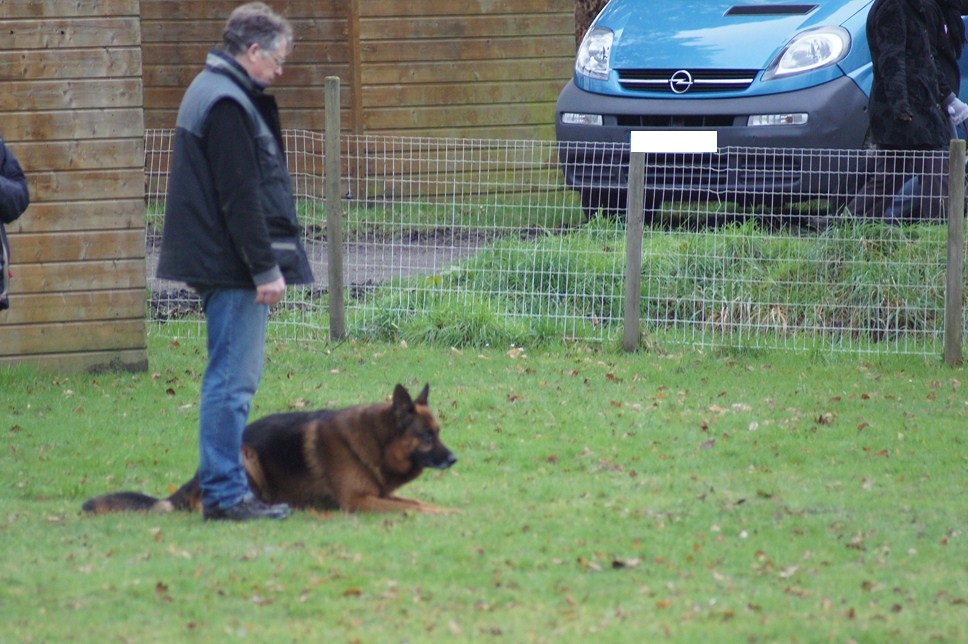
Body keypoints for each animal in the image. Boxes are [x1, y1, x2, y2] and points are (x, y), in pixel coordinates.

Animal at [83, 384, 458, 516]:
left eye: (439, 432)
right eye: (427, 436)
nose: (454, 458)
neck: (376, 441)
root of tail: (198, 473)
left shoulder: (381, 494)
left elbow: (416, 502)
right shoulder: (359, 502)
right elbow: (412, 508)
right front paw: (446, 513)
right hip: (246, 457)